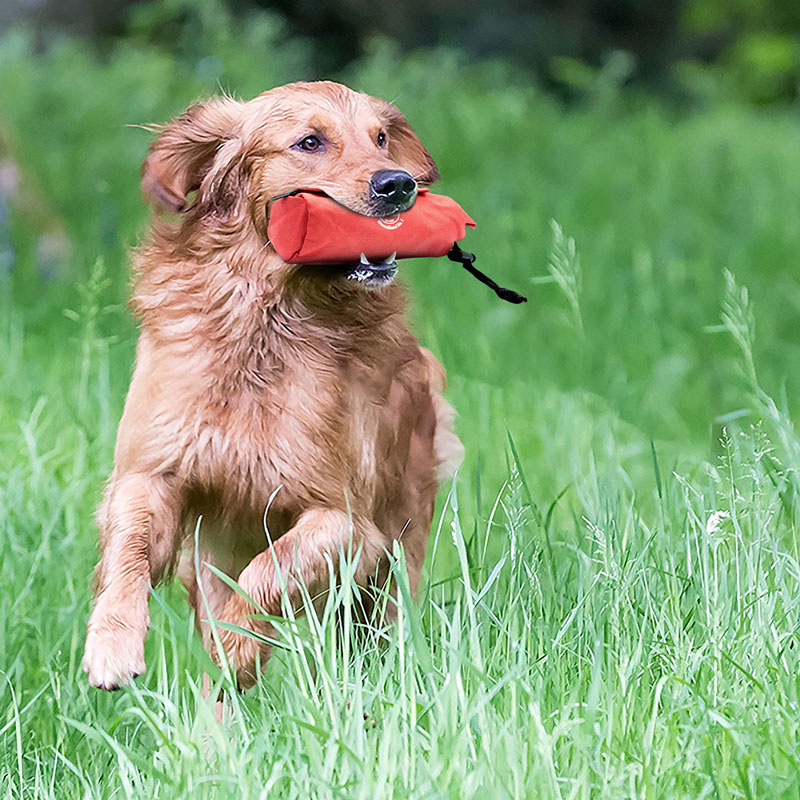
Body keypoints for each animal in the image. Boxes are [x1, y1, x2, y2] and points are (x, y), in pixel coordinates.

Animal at [81, 81, 462, 692]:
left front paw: (238, 642)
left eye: (381, 138)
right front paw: (112, 643)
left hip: (393, 558)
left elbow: (266, 575)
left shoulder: (344, 521)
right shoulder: (150, 472)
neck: (264, 326)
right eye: (309, 142)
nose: (399, 183)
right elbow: (131, 549)